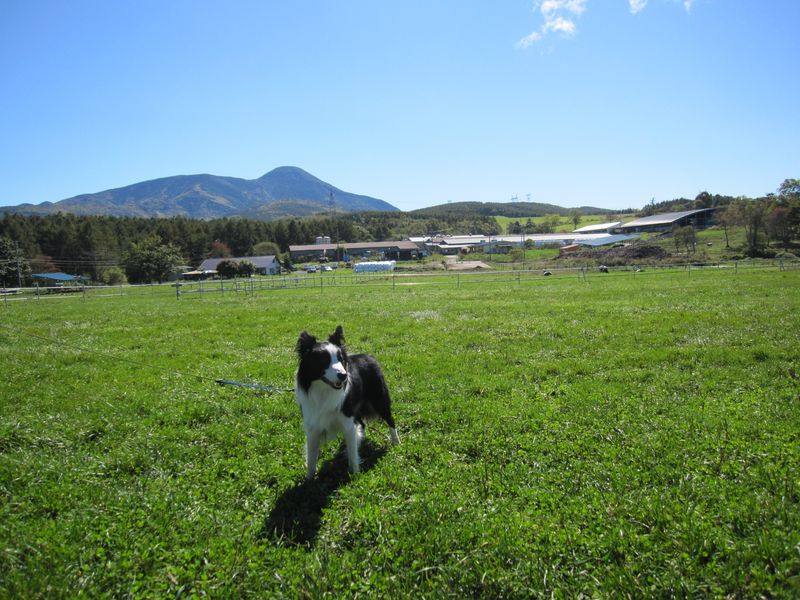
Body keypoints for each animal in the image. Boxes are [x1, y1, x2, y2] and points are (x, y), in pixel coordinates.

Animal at [294, 326, 400, 480]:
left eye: (340, 359)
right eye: (323, 359)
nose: (343, 376)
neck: (323, 391)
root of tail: (369, 356)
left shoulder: (347, 419)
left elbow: (352, 453)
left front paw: (354, 475)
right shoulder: (312, 426)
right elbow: (311, 458)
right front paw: (309, 479)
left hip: (379, 399)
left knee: (390, 420)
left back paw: (396, 442)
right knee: (361, 425)